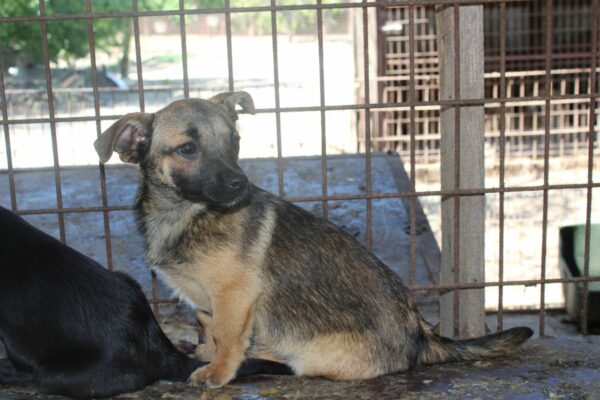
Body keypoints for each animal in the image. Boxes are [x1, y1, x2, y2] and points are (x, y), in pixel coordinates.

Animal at [95, 93, 536, 388]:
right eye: (187, 149)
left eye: (234, 143)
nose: (241, 185)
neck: (187, 214)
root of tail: (421, 335)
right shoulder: (206, 301)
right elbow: (212, 326)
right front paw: (206, 352)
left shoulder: (234, 295)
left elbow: (229, 335)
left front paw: (219, 370)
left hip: (312, 355)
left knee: (293, 361)